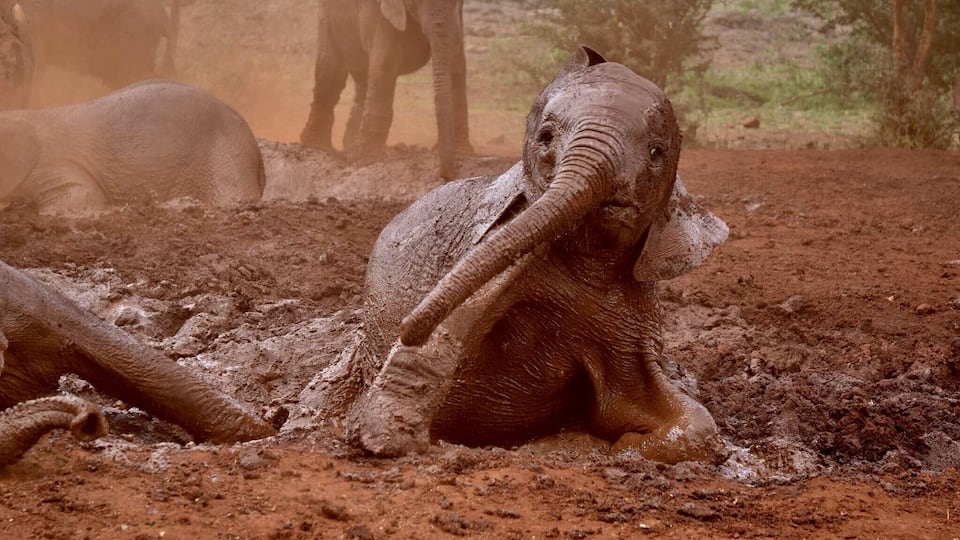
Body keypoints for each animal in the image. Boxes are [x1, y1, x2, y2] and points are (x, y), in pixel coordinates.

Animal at [300, 0, 471, 180]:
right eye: (415, 1)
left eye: (457, 2)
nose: (448, 175)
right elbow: (385, 63)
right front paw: (369, 160)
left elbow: (457, 63)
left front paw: (463, 152)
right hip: (327, 14)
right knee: (331, 73)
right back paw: (318, 147)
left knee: (363, 79)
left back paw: (351, 147)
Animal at [312, 46, 730, 464]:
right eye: (545, 138)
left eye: (657, 152)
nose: (408, 326)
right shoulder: (499, 244)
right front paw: (381, 440)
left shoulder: (631, 311)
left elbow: (689, 423)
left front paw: (616, 448)